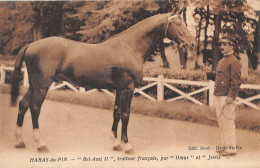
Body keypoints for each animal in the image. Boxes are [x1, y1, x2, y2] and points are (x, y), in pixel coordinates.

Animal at [10, 11, 197, 154]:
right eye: (178, 24)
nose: (192, 43)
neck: (129, 47)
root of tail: (31, 45)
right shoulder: (128, 89)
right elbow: (126, 115)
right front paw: (127, 146)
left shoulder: (118, 89)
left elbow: (116, 113)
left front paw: (116, 144)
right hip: (42, 86)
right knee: (34, 107)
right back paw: (41, 144)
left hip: (34, 85)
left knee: (23, 104)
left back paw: (20, 141)